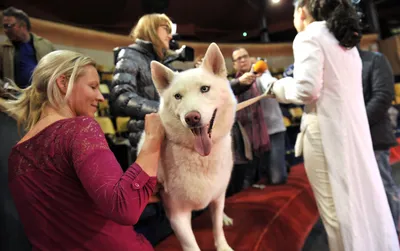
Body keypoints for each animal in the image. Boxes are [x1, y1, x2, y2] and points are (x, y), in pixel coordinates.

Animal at [138, 42, 236, 250]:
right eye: (178, 96)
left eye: (205, 89)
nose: (192, 118)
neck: (200, 156)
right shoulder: (177, 215)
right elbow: (191, 245)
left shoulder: (217, 197)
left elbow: (217, 227)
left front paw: (223, 245)